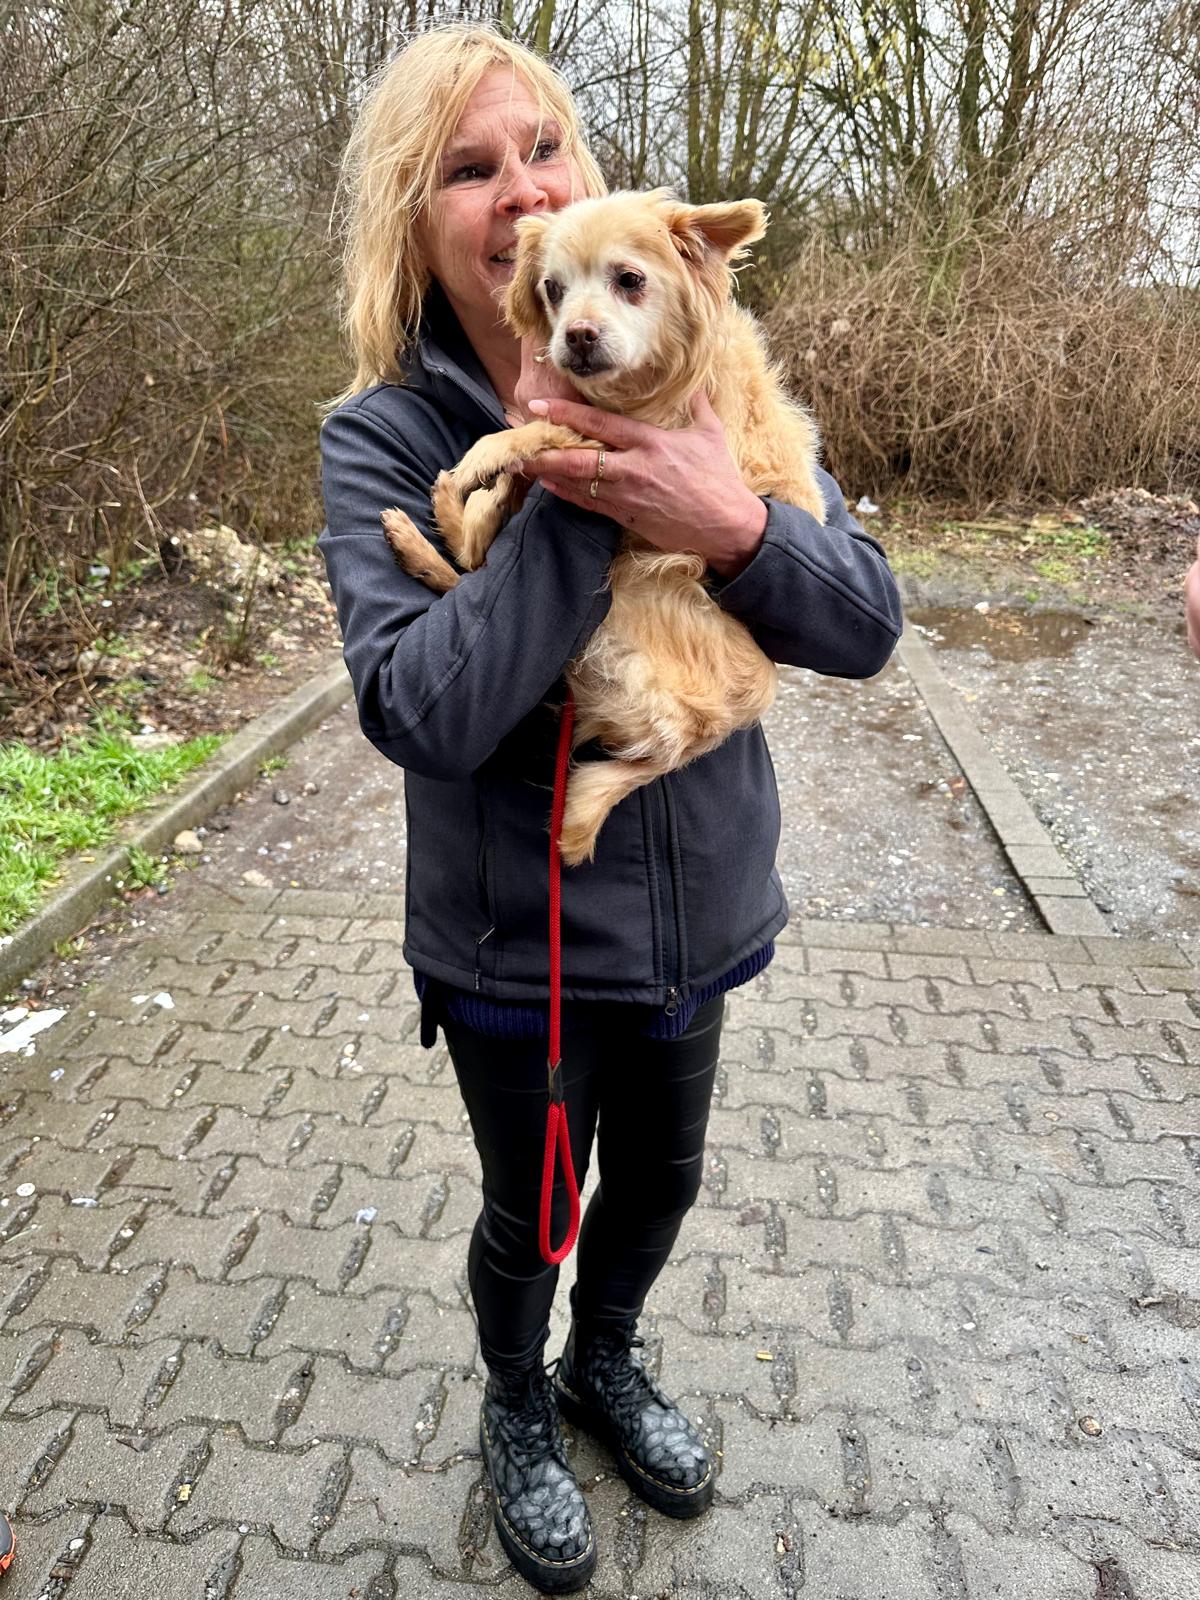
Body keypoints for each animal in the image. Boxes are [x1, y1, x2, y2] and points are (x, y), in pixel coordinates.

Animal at [382, 189, 825, 866]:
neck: (632, 392)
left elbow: (534, 431)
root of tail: (692, 741)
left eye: (630, 281)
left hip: (631, 596)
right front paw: (478, 494)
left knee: (468, 578)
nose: (577, 336)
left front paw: (483, 457)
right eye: (552, 290)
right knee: (474, 566)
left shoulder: (638, 443)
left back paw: (422, 536)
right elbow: (512, 484)